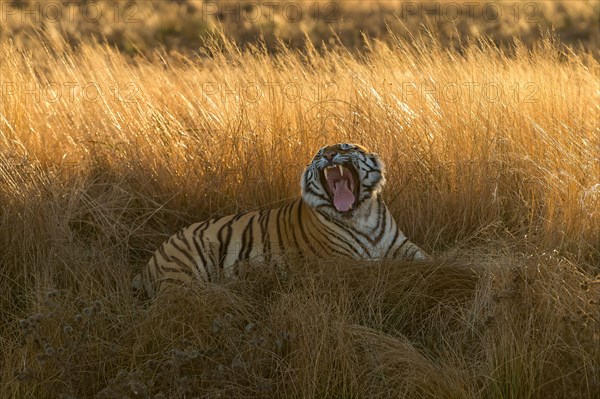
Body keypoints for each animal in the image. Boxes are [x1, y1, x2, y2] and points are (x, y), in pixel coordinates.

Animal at [136, 144, 426, 296]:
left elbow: (427, 261)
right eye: (319, 154)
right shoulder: (342, 263)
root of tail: (151, 260)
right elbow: (381, 269)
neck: (360, 214)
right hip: (182, 276)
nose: (329, 156)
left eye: (345, 147)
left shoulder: (404, 247)